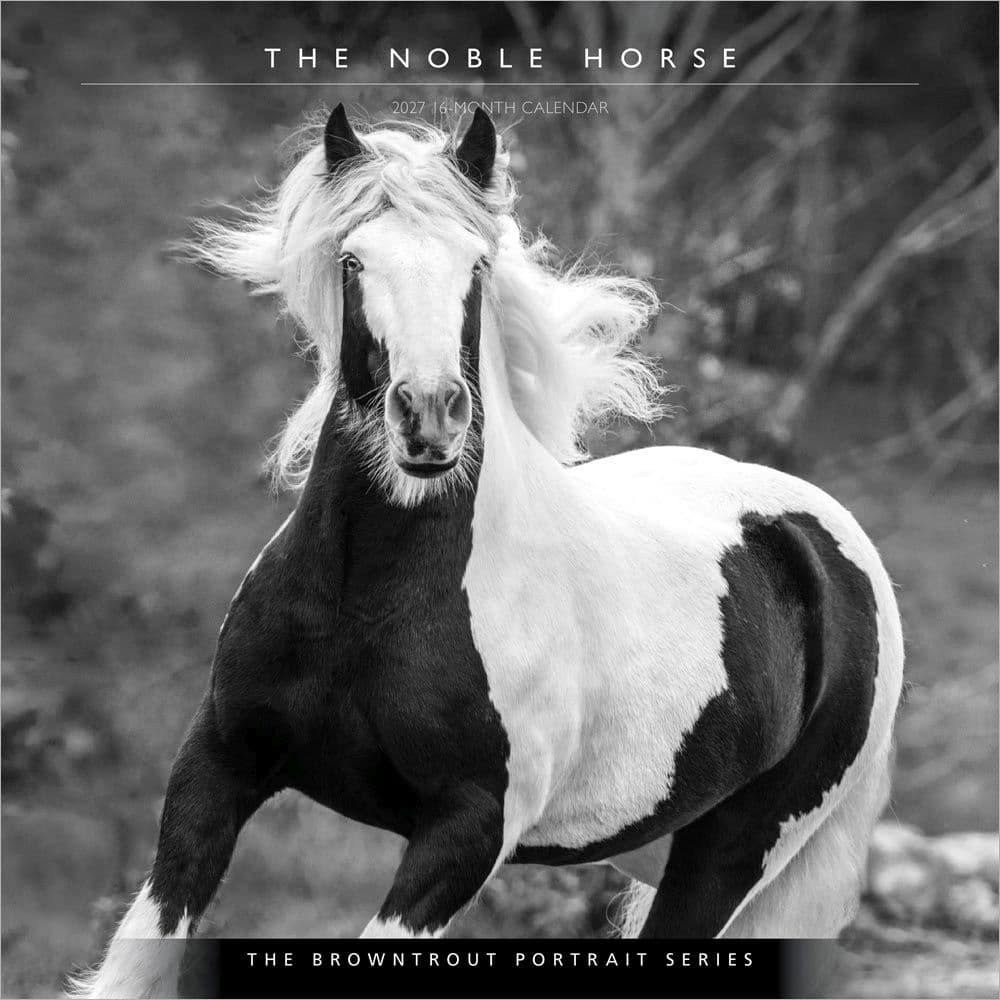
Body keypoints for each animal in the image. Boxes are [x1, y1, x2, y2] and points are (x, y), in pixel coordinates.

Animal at [69, 104, 903, 998]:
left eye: (475, 262)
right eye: (353, 259)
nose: (430, 417)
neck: (367, 597)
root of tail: (826, 542)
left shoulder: (466, 834)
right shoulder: (217, 764)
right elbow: (134, 959)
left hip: (739, 849)